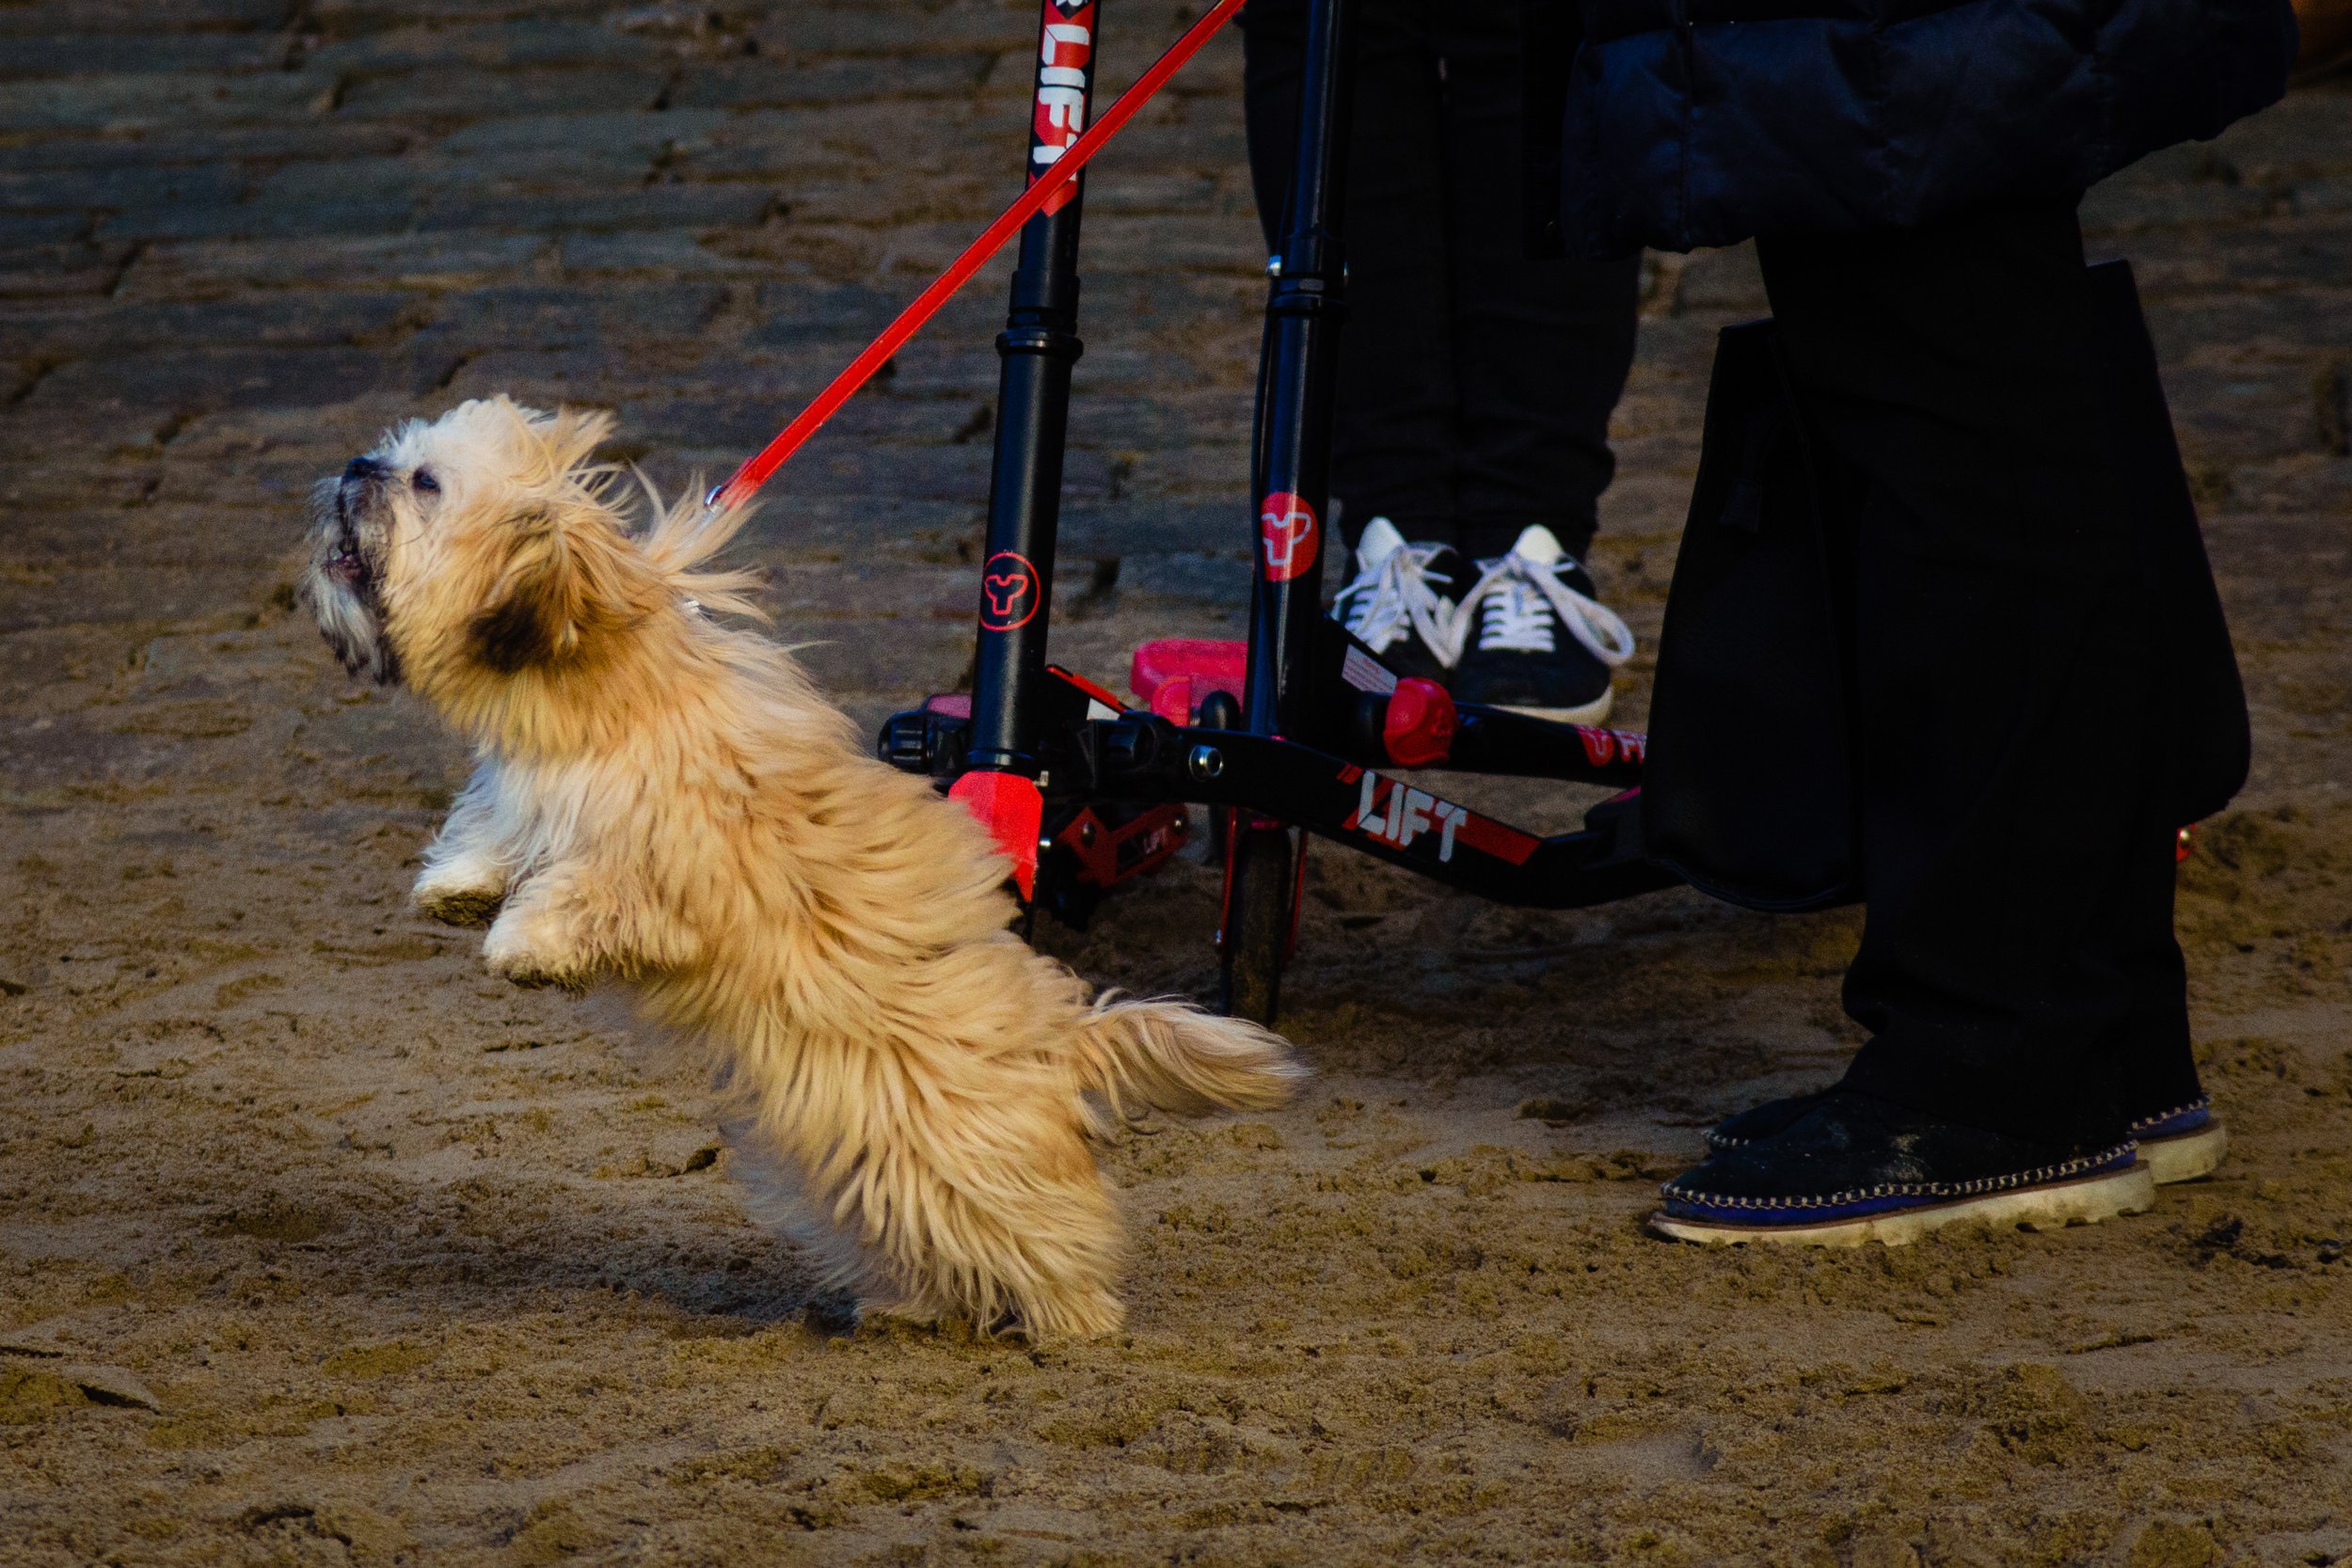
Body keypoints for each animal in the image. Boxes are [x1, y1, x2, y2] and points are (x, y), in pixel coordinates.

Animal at [298, 394, 1308, 1335]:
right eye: (394, 454)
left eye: (426, 482)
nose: (352, 466)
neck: (600, 688)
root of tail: (1055, 1036)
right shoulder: (531, 784)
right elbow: (498, 827)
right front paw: (459, 884)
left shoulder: (673, 876)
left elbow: (592, 893)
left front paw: (525, 940)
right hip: (877, 1165)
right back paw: (913, 1307)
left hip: (963, 1154)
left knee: (1053, 1233)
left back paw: (1074, 1323)